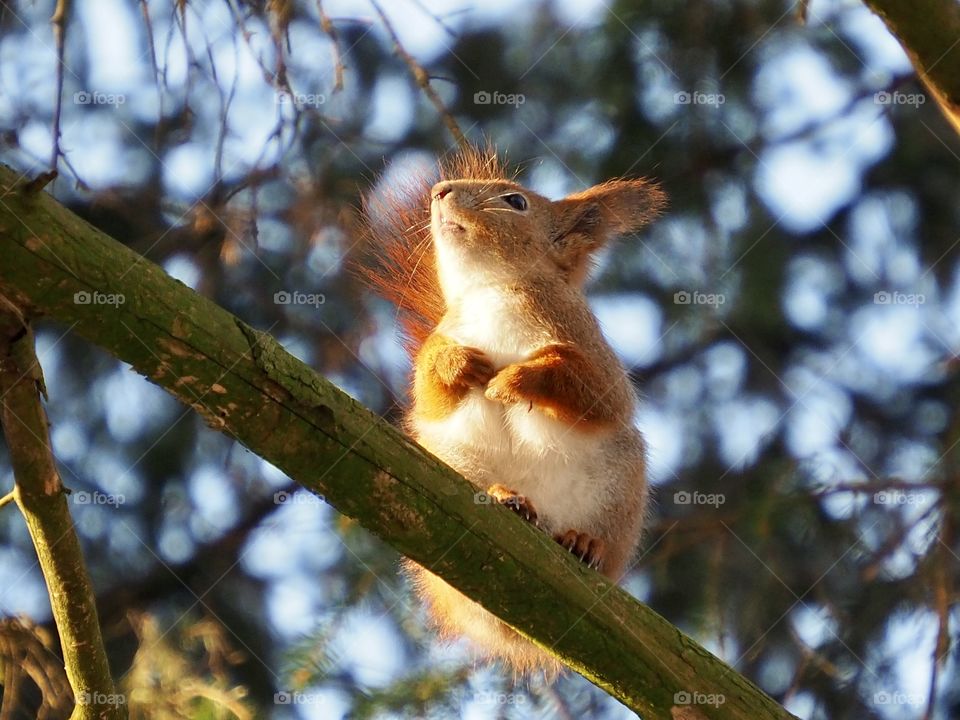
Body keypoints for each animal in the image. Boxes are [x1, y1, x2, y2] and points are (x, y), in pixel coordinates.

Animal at [360, 145, 666, 676]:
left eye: (516, 202)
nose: (440, 191)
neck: (491, 288)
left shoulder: (585, 344)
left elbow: (597, 393)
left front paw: (516, 380)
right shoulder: (445, 338)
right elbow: (431, 394)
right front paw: (459, 363)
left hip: (618, 486)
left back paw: (585, 543)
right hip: (450, 461)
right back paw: (507, 497)